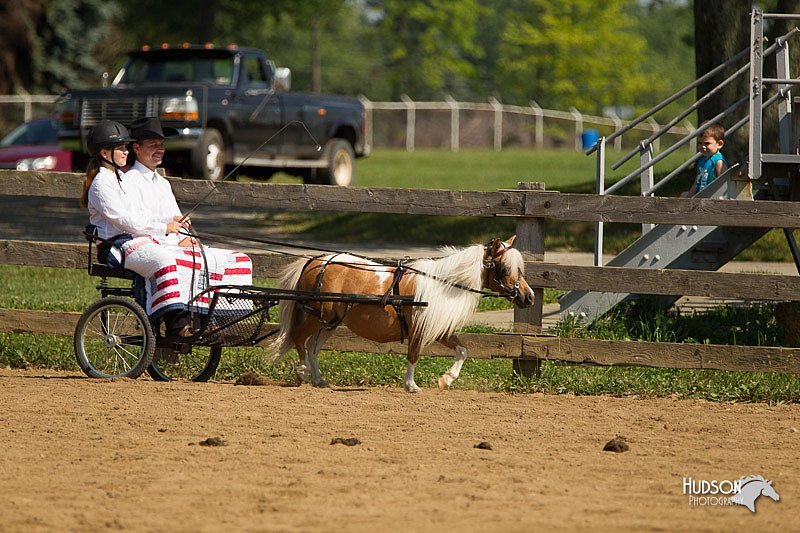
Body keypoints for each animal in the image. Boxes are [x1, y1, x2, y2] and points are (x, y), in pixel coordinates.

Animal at [272, 235, 536, 392]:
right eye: (504, 269)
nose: (529, 297)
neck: (443, 284)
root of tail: (316, 261)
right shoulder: (419, 328)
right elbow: (413, 354)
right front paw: (411, 385)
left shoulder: (440, 330)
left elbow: (463, 350)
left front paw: (446, 379)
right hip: (317, 315)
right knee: (299, 337)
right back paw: (302, 371)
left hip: (331, 321)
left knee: (313, 346)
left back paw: (318, 379)